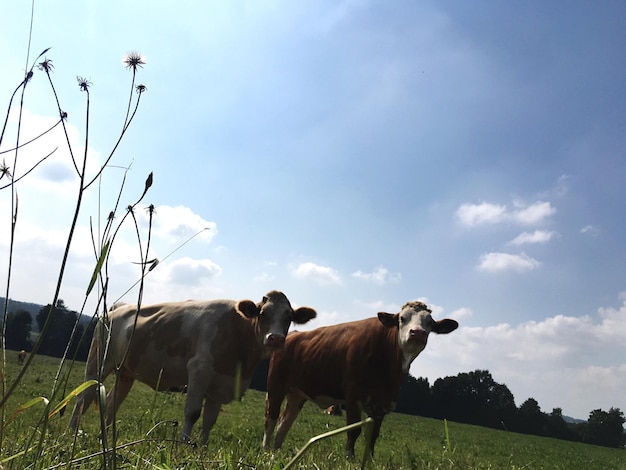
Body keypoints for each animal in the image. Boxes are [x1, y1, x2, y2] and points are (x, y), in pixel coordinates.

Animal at [68, 290, 316, 444]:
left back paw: (105, 437)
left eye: (289, 316)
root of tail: (117, 307)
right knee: (84, 396)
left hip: (126, 371)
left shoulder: (220, 385)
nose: (275, 338)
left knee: (111, 402)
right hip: (98, 361)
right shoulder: (199, 370)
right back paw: (71, 433)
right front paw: (183, 445)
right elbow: (193, 413)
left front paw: (202, 450)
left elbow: (209, 420)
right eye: (262, 313)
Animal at [260, 300, 456, 458]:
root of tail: (291, 334)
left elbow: (373, 437)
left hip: (297, 394)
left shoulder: (382, 404)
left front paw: (369, 460)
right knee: (271, 418)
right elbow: (354, 431)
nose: (417, 333)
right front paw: (350, 458)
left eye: (429, 322)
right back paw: (265, 450)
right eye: (402, 319)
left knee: (284, 423)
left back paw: (275, 453)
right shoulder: (353, 397)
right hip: (276, 385)